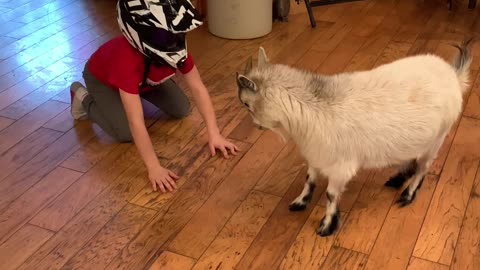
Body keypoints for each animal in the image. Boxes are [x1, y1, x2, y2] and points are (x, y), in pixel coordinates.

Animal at [236, 39, 472, 236]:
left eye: (246, 104)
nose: (255, 126)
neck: (314, 106)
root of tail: (454, 75)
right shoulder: (316, 154)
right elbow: (309, 179)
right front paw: (300, 202)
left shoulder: (340, 167)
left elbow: (331, 195)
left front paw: (327, 226)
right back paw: (396, 180)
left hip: (436, 140)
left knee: (423, 169)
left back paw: (408, 194)